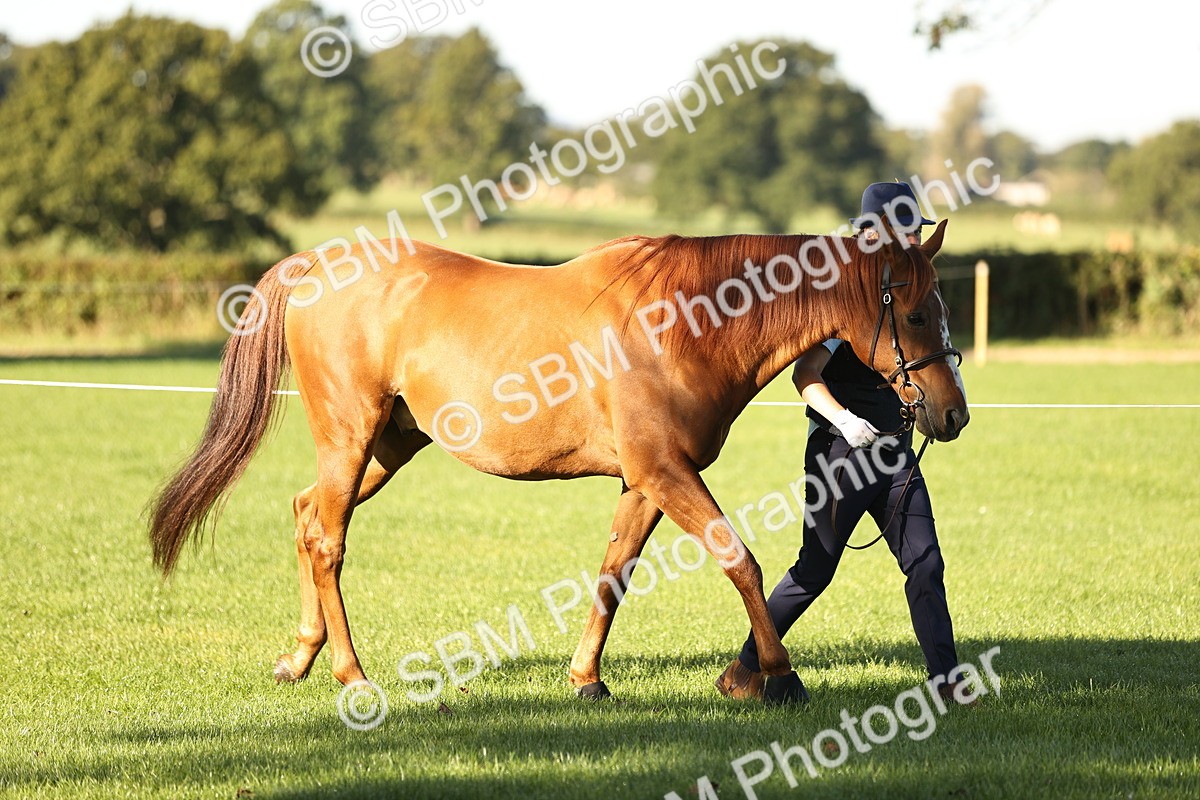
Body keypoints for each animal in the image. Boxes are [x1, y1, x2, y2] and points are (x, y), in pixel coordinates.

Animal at [148, 218, 968, 704]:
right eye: (916, 311)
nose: (953, 413)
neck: (684, 320)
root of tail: (317, 263)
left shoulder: (646, 481)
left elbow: (613, 573)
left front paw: (587, 680)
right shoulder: (668, 474)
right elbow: (741, 560)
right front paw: (779, 678)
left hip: (388, 445)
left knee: (303, 512)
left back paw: (300, 657)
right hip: (352, 437)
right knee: (326, 538)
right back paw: (352, 674)